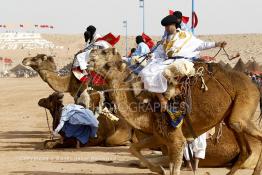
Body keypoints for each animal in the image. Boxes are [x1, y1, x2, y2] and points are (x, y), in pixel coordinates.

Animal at [87, 47, 262, 175]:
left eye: (105, 54)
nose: (90, 55)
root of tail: (254, 84)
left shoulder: (177, 140)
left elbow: (174, 168)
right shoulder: (161, 137)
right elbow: (134, 148)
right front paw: (159, 170)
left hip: (244, 101)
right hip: (232, 117)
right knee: (245, 149)